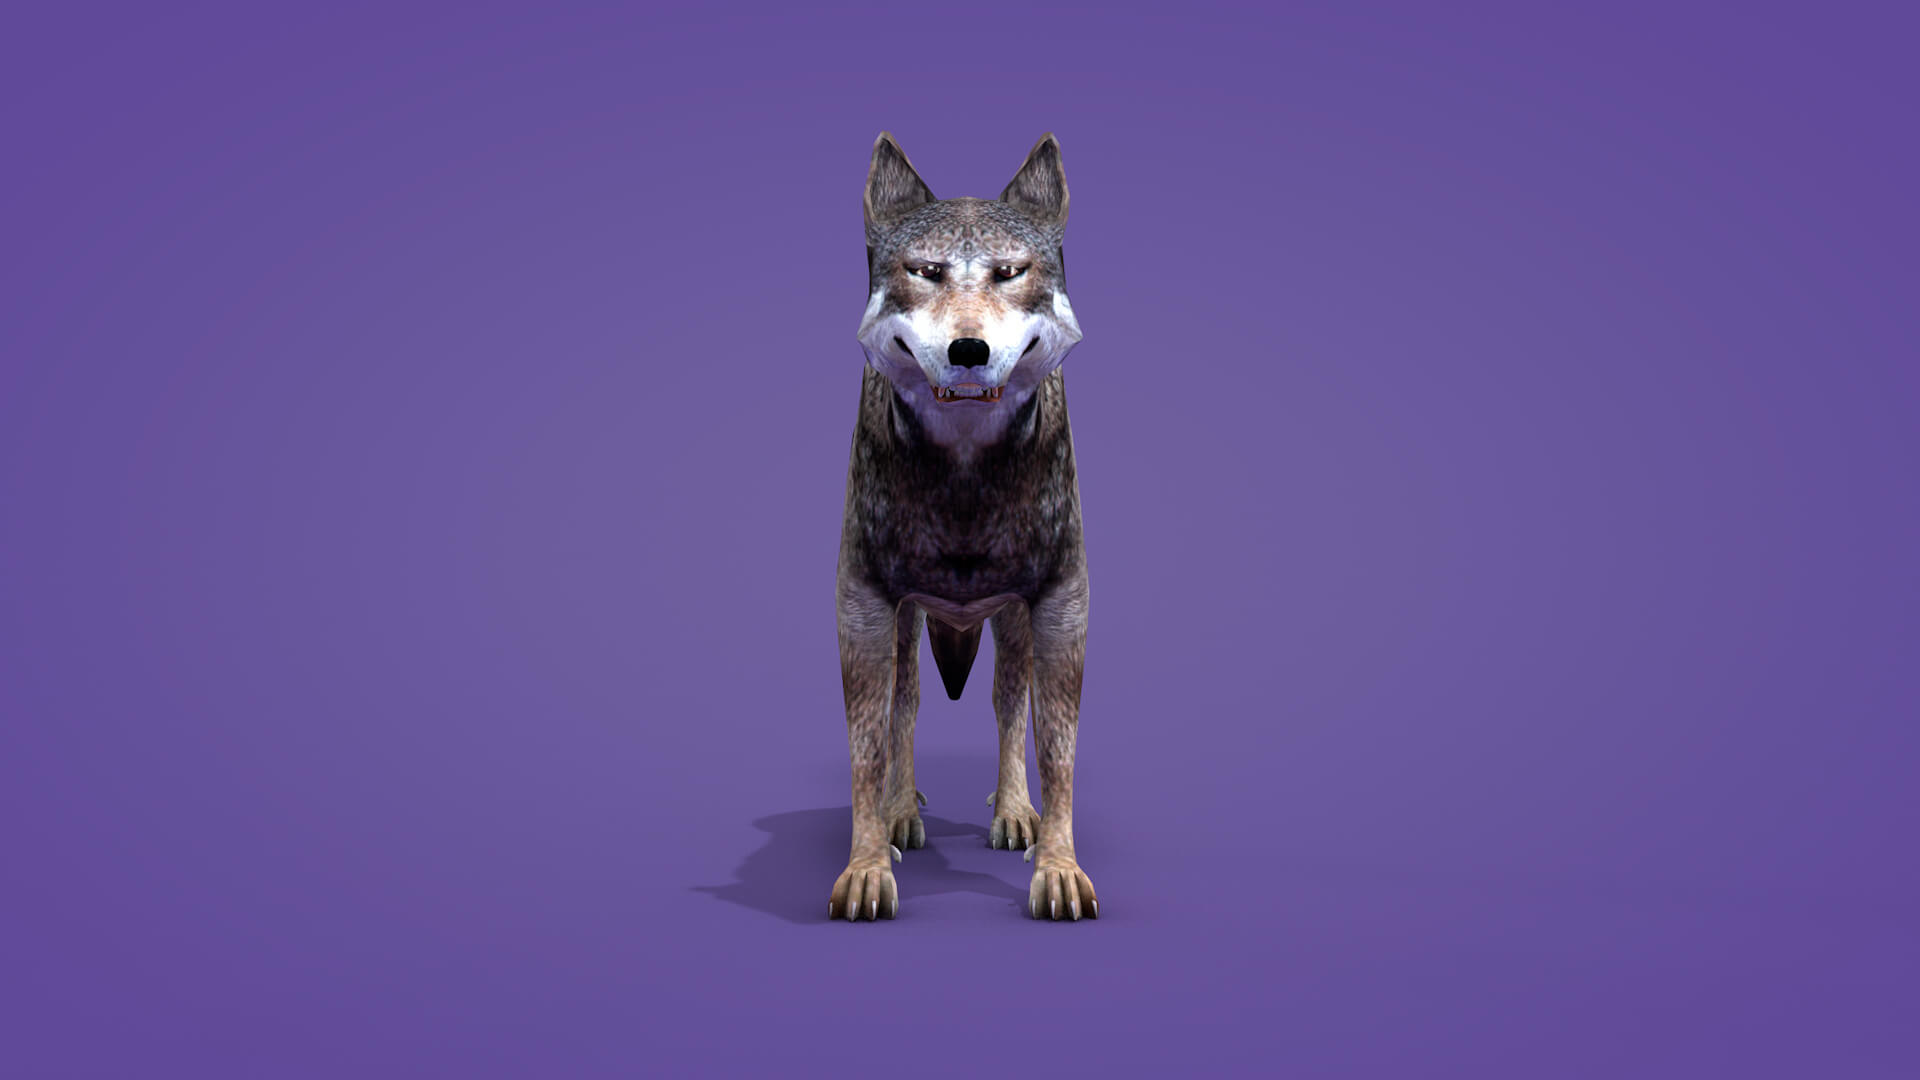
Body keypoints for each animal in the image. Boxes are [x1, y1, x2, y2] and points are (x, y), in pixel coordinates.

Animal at [830, 132, 1096, 922]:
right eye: (925, 272)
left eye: (1010, 273)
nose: (969, 350)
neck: (966, 476)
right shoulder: (864, 604)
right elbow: (870, 745)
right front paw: (866, 868)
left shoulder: (1062, 604)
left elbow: (1057, 751)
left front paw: (1058, 870)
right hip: (906, 623)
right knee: (909, 705)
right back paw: (901, 814)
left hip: (1011, 622)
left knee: (1008, 704)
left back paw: (1013, 813)